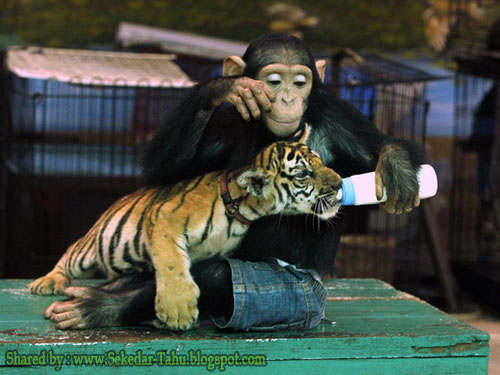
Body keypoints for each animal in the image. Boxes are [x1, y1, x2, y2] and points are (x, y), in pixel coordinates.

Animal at [44, 33, 422, 330]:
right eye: (274, 81)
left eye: (300, 82)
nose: (288, 98)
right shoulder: (221, 125)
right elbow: (165, 172)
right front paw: (226, 87)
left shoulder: (340, 117)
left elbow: (376, 146)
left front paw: (397, 170)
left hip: (301, 293)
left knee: (218, 276)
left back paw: (101, 306)